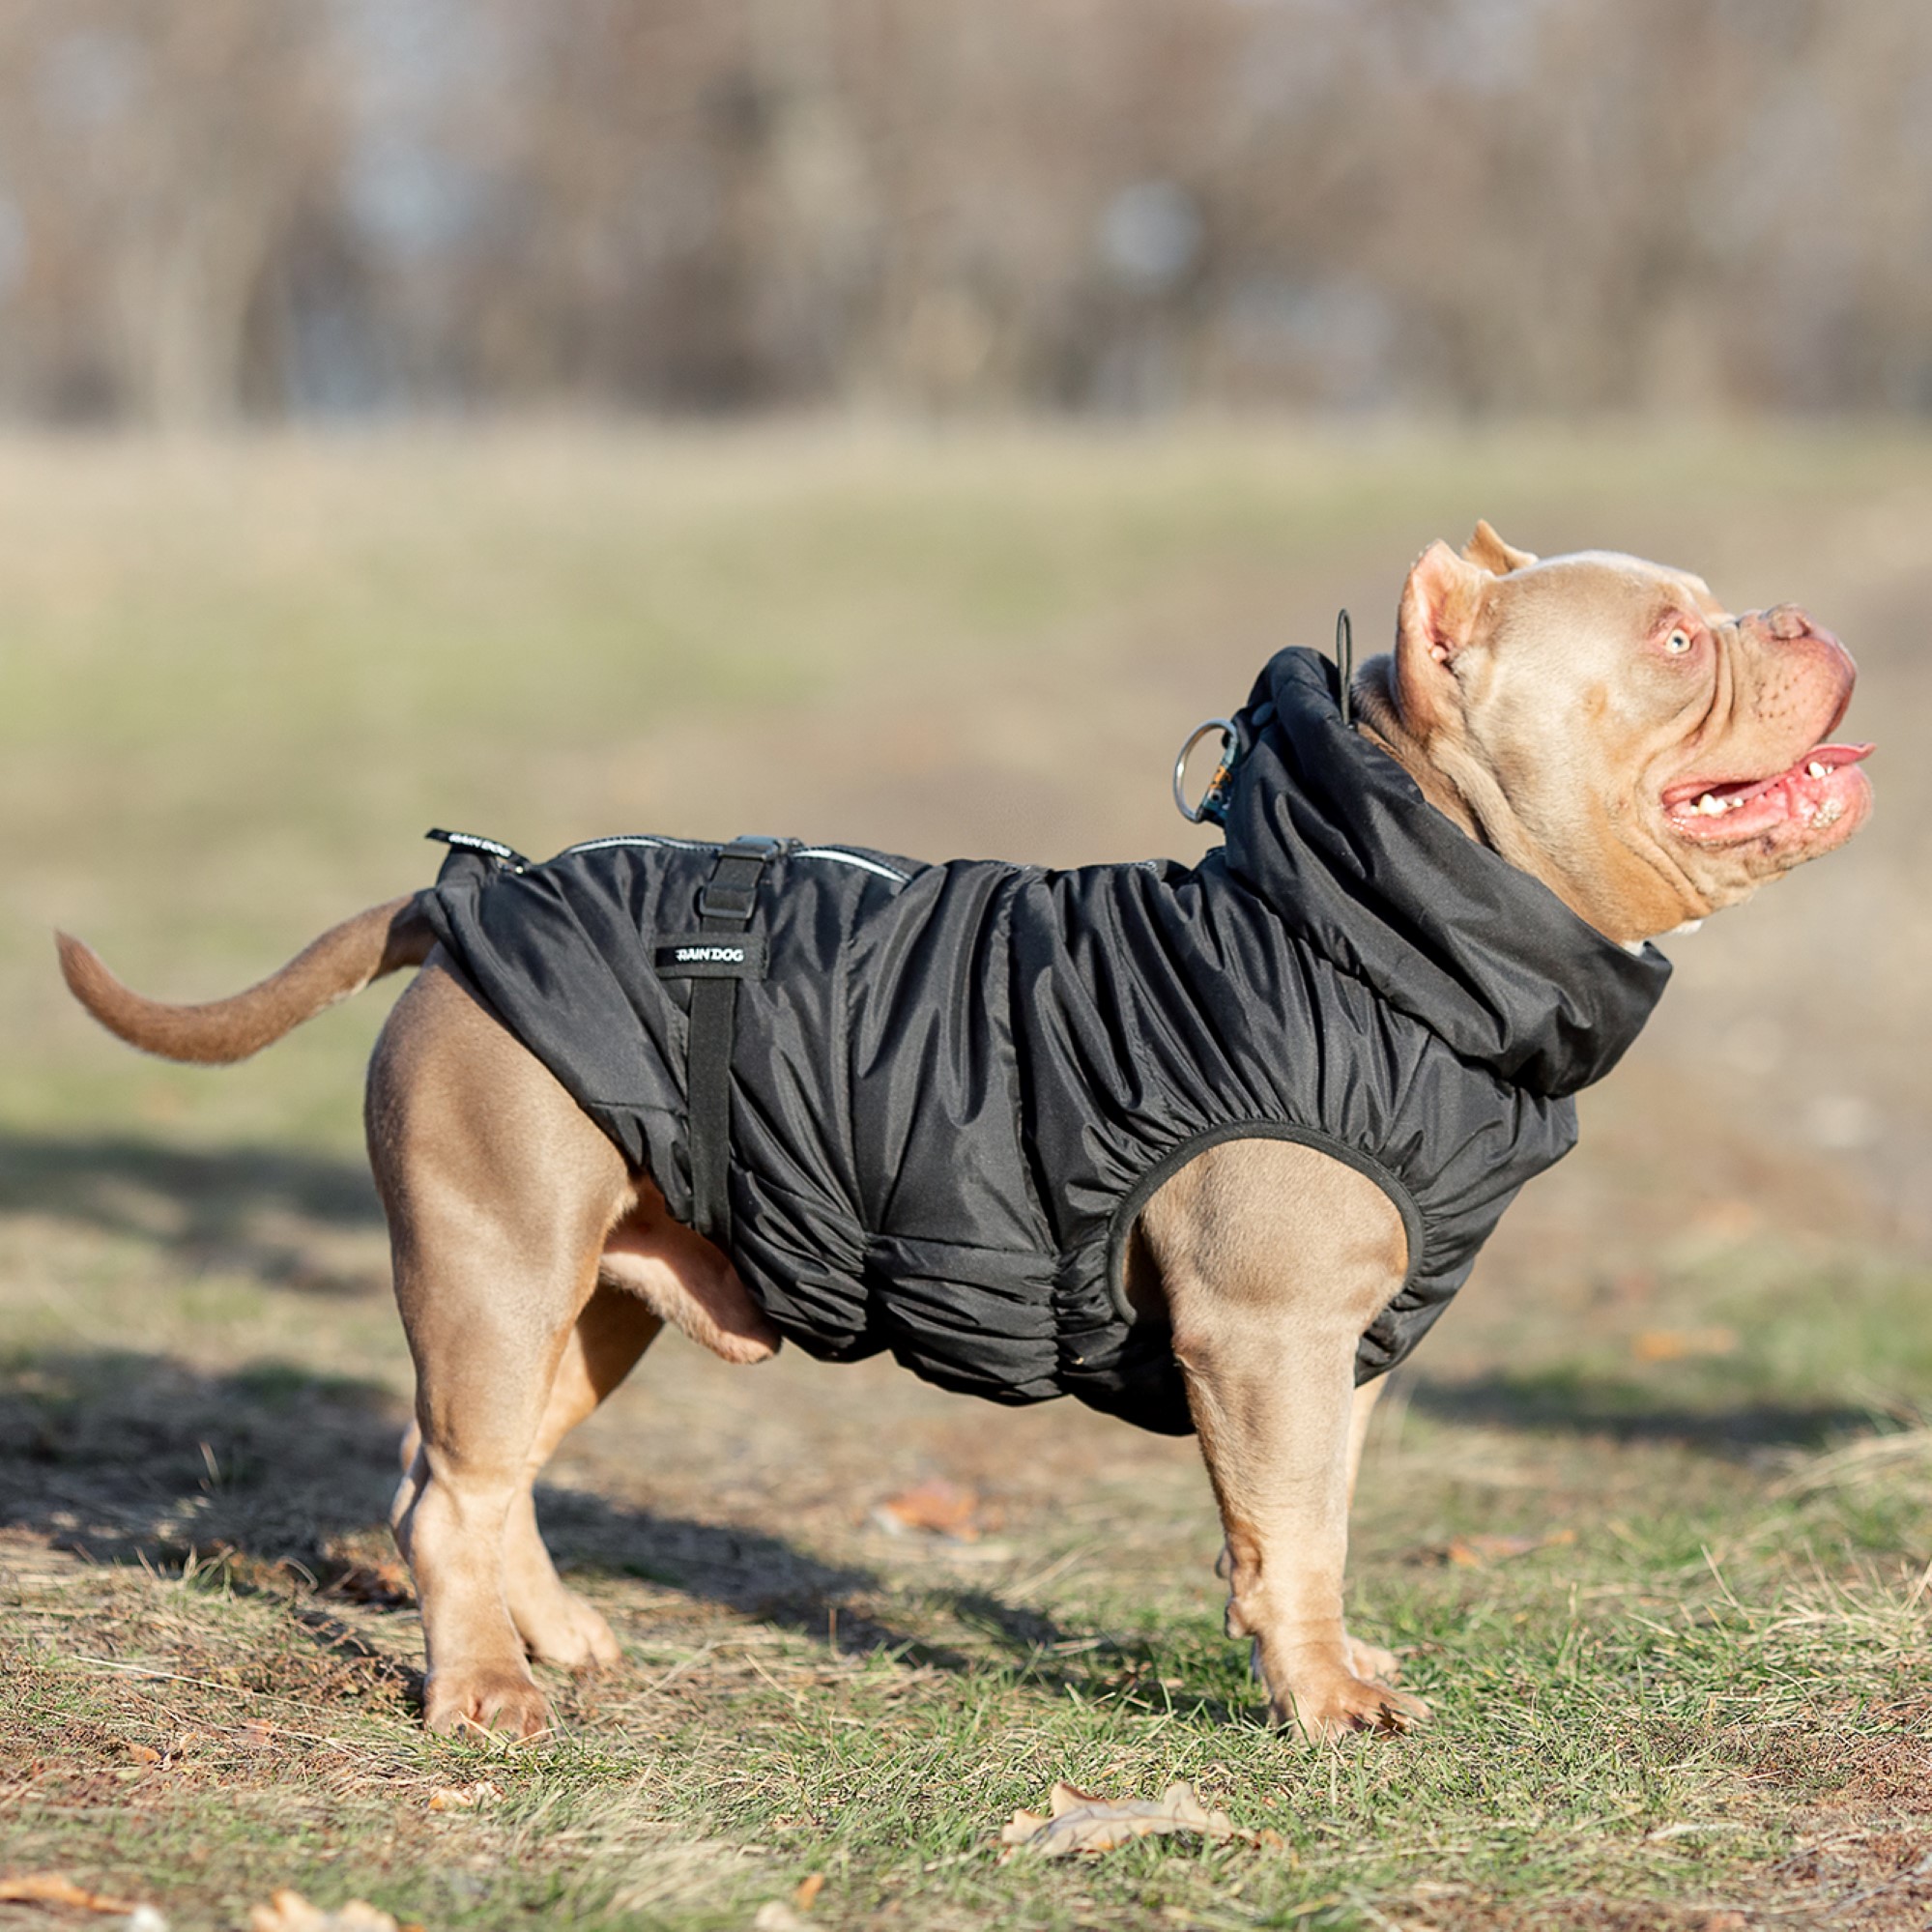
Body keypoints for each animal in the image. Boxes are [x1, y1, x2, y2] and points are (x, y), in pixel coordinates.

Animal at [56, 525, 1870, 1739]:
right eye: (1670, 641)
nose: (1798, 611)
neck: (1382, 924)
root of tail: (462, 904)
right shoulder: (1265, 1334)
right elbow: (1284, 1531)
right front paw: (1308, 1702)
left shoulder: (1341, 1356)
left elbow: (1318, 1524)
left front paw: (1332, 1662)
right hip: (497, 1267)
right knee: (454, 1487)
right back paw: (486, 1692)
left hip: (588, 1302)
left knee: (463, 1471)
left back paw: (547, 1636)